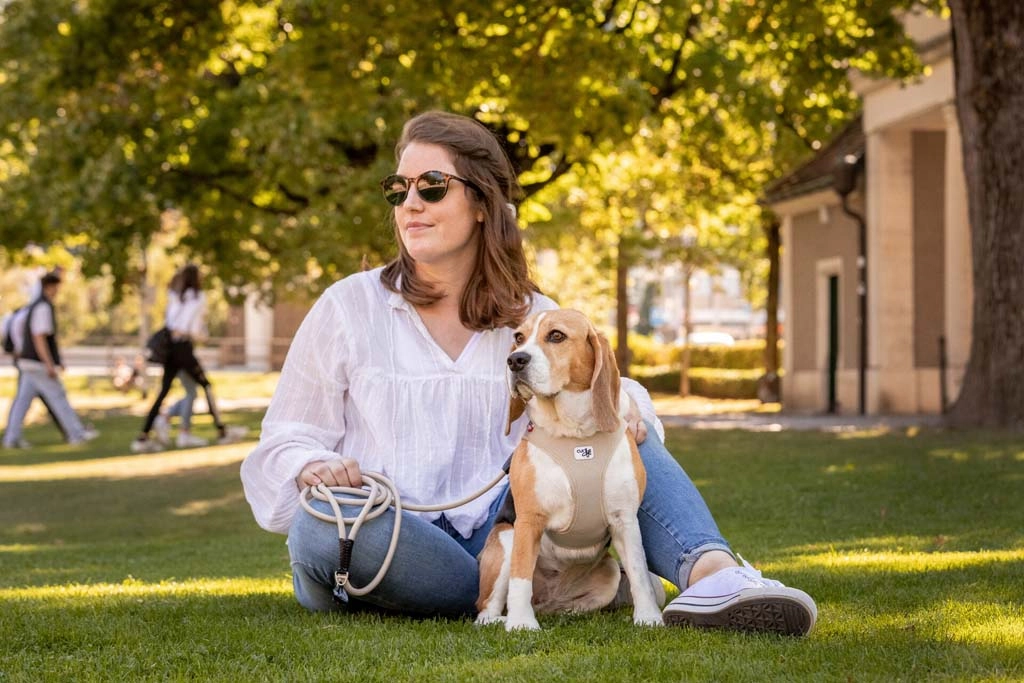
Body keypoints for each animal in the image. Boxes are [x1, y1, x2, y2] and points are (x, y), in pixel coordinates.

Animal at [475, 309, 664, 631]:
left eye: (556, 336)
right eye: (519, 337)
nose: (515, 360)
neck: (576, 435)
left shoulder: (625, 519)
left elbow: (640, 573)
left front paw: (649, 618)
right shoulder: (528, 521)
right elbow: (520, 578)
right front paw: (521, 624)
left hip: (609, 572)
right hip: (505, 539)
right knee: (485, 608)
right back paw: (502, 619)